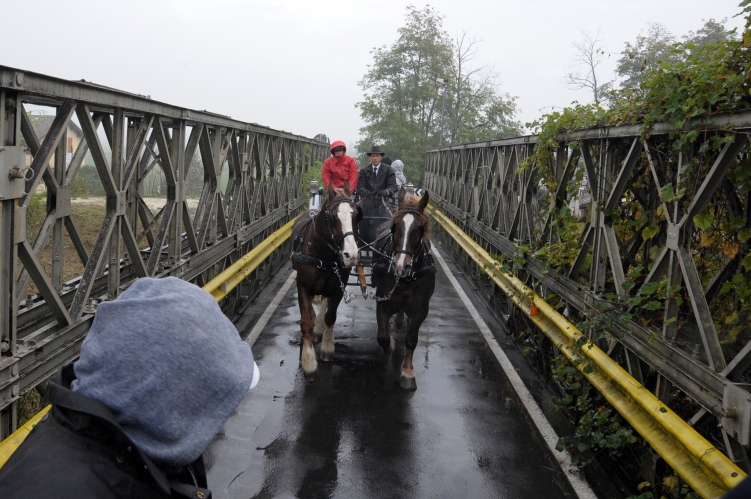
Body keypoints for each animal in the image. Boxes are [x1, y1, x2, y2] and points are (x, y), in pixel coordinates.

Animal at [292, 182, 360, 380]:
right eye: (333, 217)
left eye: (356, 215)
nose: (351, 255)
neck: (323, 254)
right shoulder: (303, 286)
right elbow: (306, 322)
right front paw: (309, 363)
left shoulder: (338, 287)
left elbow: (330, 316)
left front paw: (327, 348)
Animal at [370, 188, 434, 390]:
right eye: (394, 226)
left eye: (420, 228)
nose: (400, 267)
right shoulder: (382, 301)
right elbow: (382, 335)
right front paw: (389, 344)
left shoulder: (421, 309)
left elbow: (411, 340)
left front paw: (407, 372)